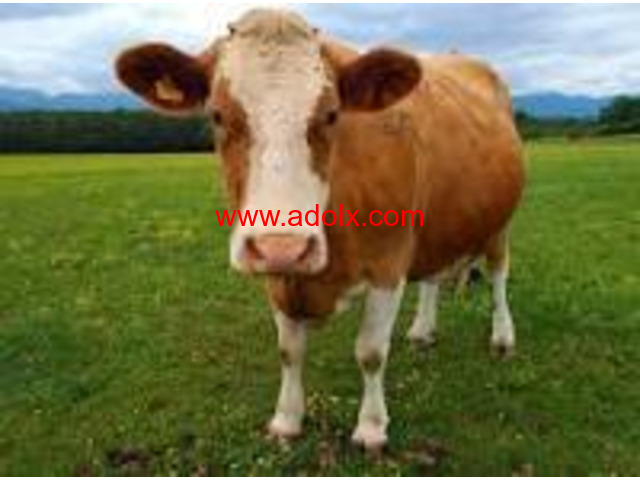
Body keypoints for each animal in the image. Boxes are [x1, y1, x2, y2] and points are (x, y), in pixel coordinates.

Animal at [116, 9, 525, 451]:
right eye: (217, 115)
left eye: (331, 115)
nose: (283, 246)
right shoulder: (278, 276)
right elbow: (289, 351)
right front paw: (286, 420)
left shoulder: (388, 262)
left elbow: (370, 352)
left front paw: (371, 427)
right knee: (433, 276)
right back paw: (422, 331)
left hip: (500, 223)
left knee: (499, 276)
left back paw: (502, 337)